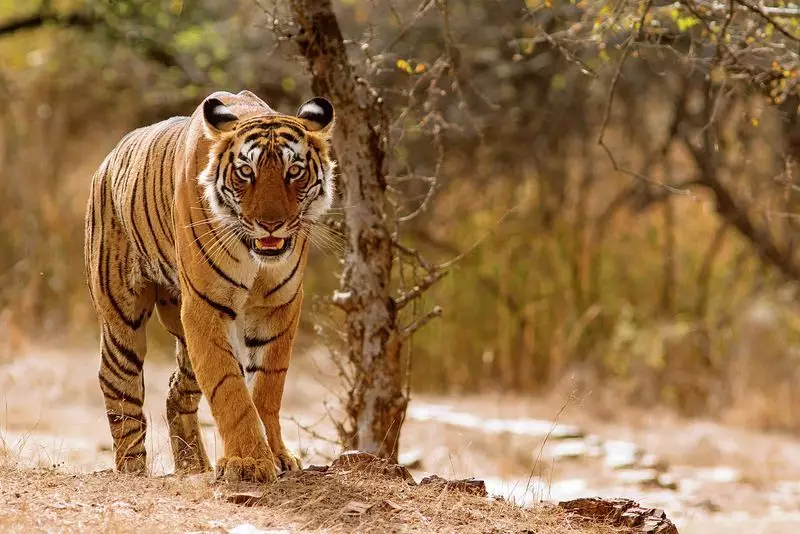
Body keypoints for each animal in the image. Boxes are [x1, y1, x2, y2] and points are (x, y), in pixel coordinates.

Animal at [84, 90, 335, 482]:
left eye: (294, 171)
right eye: (246, 172)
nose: (271, 225)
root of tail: (108, 159)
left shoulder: (279, 304)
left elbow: (266, 386)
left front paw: (277, 455)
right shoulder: (205, 306)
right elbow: (228, 387)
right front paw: (248, 462)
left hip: (182, 336)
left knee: (177, 391)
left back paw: (193, 466)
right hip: (121, 318)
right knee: (118, 386)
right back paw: (133, 470)